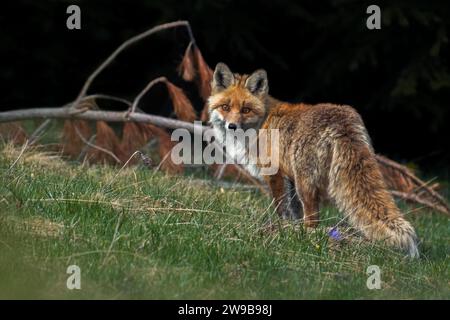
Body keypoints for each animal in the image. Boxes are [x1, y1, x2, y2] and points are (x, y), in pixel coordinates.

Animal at [207, 62, 418, 258]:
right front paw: (289, 230)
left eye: (246, 109)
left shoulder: (275, 175)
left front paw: (281, 230)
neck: (261, 124)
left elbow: (281, 209)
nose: (232, 126)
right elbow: (293, 212)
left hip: (305, 184)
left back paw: (308, 238)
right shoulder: (288, 179)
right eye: (225, 107)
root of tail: (343, 120)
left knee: (313, 218)